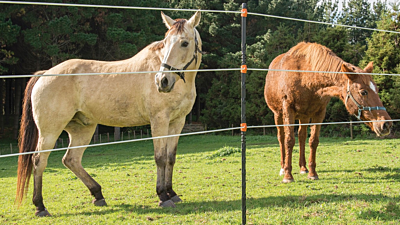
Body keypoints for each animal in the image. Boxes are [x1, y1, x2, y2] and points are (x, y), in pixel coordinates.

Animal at [16, 11, 203, 216]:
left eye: (184, 43)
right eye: (165, 42)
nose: (162, 81)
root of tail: (44, 74)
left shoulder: (177, 122)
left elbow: (170, 158)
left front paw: (172, 193)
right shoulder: (159, 121)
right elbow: (160, 158)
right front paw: (162, 196)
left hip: (83, 129)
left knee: (71, 159)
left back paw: (98, 194)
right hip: (50, 132)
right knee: (39, 161)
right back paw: (40, 206)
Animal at [264, 41, 392, 183]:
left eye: (377, 89)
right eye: (363, 92)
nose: (386, 124)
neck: (305, 76)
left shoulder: (319, 113)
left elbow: (313, 141)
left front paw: (312, 173)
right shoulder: (288, 110)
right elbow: (289, 141)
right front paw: (288, 175)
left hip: (304, 116)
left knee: (302, 136)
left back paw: (303, 168)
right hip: (278, 115)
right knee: (281, 137)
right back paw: (283, 168)